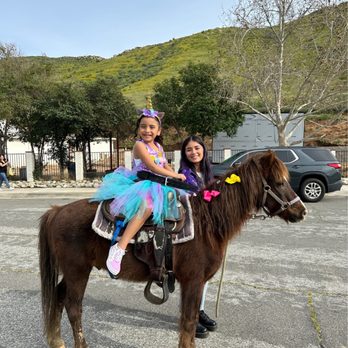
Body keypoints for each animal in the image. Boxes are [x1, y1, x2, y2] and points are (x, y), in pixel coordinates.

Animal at [38, 152, 308, 348]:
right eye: (279, 182)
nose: (302, 211)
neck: (207, 222)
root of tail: (57, 211)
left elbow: (190, 321)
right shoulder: (192, 280)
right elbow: (188, 322)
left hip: (72, 272)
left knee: (58, 298)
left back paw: (57, 341)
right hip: (78, 272)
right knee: (74, 309)